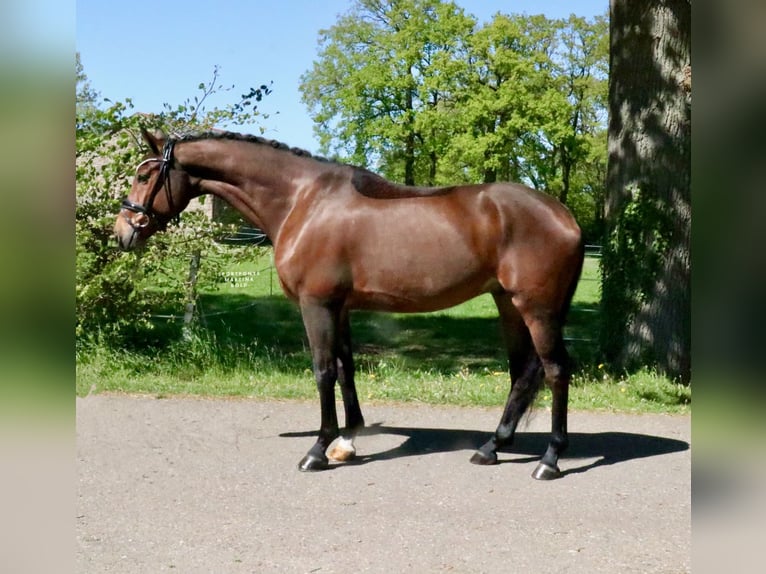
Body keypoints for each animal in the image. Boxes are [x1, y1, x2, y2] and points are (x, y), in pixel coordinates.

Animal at [114, 128, 584, 480]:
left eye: (144, 175)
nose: (123, 232)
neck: (302, 201)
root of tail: (565, 217)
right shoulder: (338, 307)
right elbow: (346, 368)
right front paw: (347, 440)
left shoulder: (316, 304)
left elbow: (323, 371)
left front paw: (318, 450)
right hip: (509, 304)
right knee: (523, 372)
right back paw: (491, 447)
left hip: (536, 309)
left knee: (555, 370)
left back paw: (549, 460)